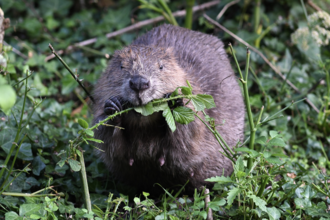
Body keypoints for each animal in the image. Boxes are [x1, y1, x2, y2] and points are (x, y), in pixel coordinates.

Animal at [93, 23, 245, 193]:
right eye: (121, 66)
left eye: (161, 66)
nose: (139, 83)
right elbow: (109, 144)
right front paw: (113, 108)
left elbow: (188, 138)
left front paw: (174, 102)